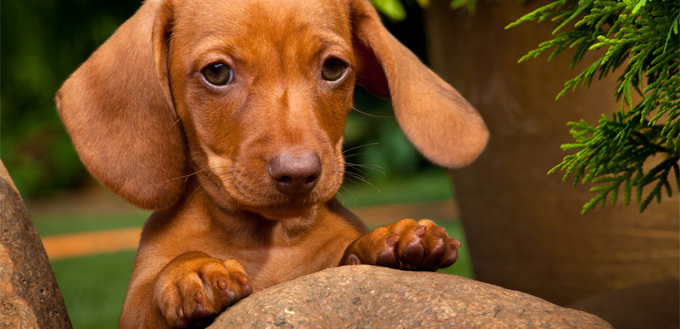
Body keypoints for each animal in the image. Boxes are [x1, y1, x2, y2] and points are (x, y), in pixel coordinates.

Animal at [55, 0, 486, 326]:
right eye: (217, 72)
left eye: (333, 68)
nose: (298, 174)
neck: (271, 239)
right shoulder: (133, 310)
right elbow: (164, 277)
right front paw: (192, 270)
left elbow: (349, 254)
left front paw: (391, 237)